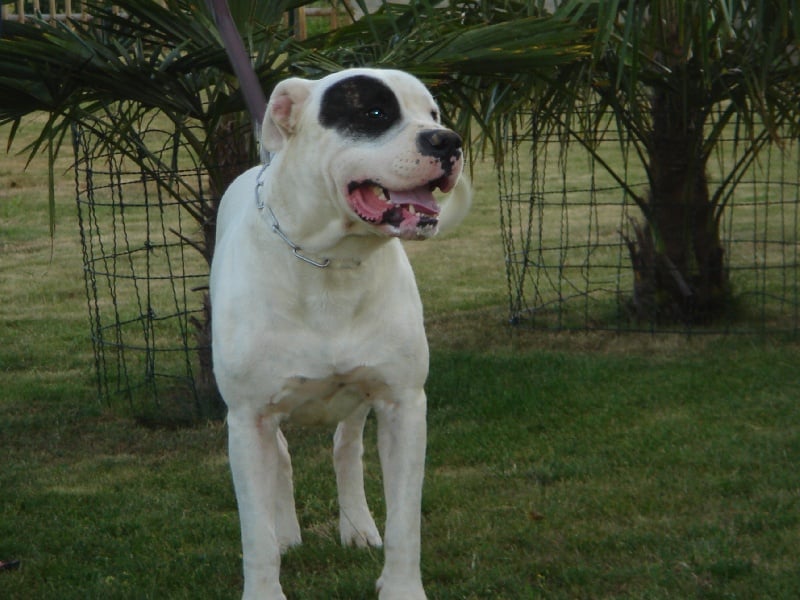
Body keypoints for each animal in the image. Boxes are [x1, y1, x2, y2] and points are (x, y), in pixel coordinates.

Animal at [210, 68, 471, 599]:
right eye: (373, 113)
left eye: (432, 113)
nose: (447, 140)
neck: (332, 262)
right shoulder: (248, 418)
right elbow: (255, 534)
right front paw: (265, 583)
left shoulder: (403, 405)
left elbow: (405, 521)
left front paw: (401, 587)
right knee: (282, 460)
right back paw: (287, 530)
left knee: (346, 447)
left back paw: (357, 525)